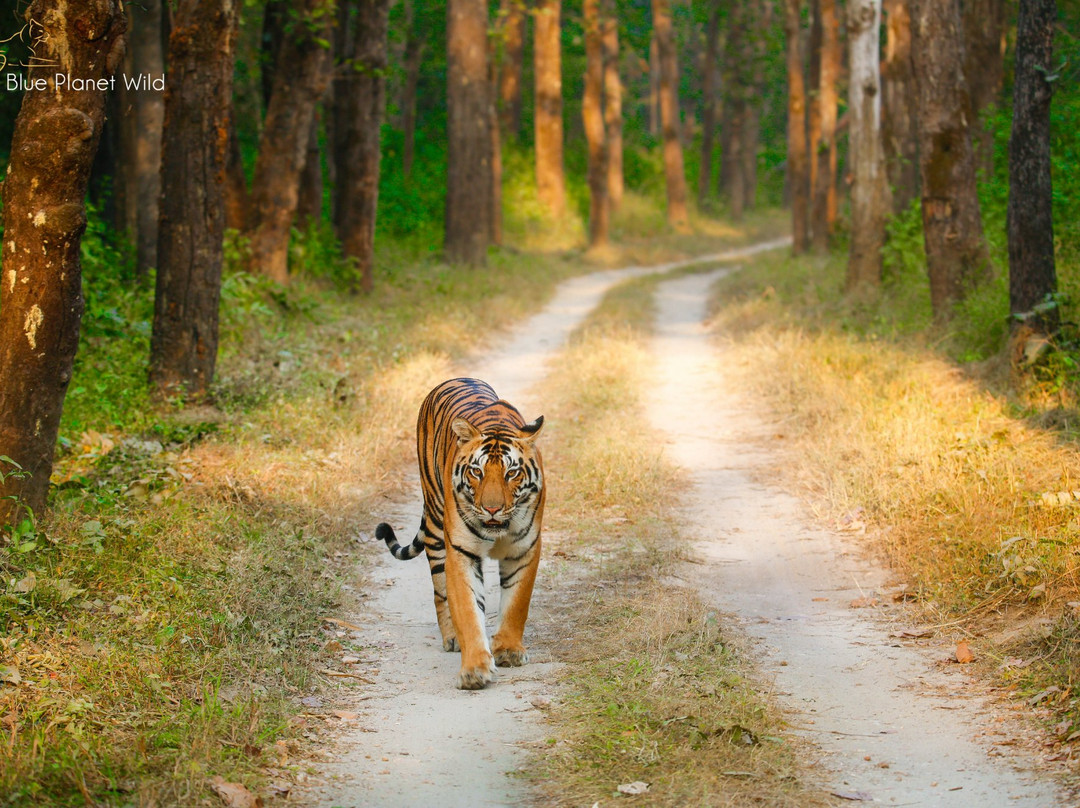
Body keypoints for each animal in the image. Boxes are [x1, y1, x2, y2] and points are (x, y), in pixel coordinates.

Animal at [380, 378, 548, 687]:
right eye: (476, 472)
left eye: (511, 473)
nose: (492, 508)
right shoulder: (461, 552)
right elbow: (468, 611)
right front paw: (474, 670)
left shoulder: (524, 550)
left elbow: (517, 603)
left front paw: (509, 650)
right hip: (436, 526)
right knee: (440, 591)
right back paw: (452, 638)